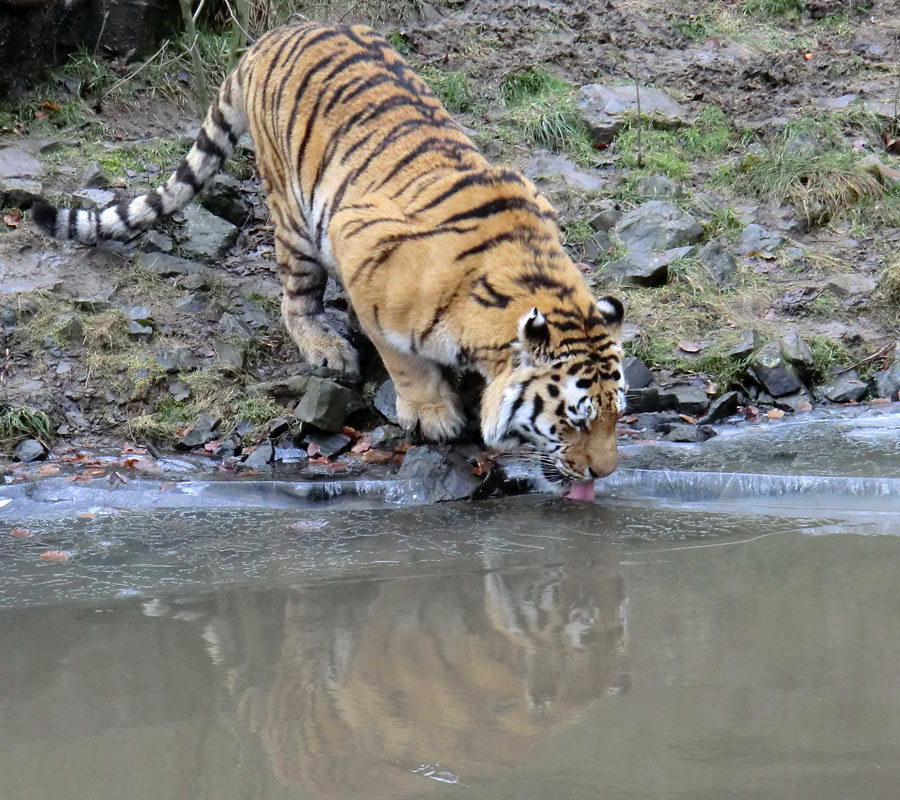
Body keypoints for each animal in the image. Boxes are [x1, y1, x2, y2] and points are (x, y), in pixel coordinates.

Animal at [35, 20, 624, 494]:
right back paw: (327, 347)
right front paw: (433, 413)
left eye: (617, 415)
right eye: (575, 420)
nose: (606, 473)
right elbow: (403, 358)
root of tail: (272, 35)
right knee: (295, 302)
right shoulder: (360, 244)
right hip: (296, 217)